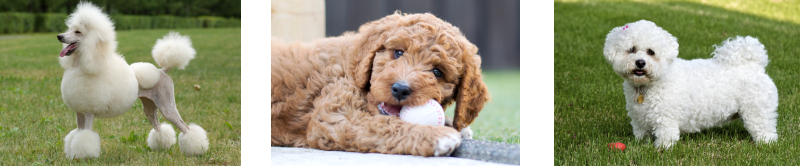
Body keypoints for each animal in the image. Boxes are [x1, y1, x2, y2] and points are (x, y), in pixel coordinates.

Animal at [272, 12, 490, 156]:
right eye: (399, 52)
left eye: (438, 72)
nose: (401, 89)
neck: (351, 68)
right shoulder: (335, 116)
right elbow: (386, 125)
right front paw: (437, 134)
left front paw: (455, 125)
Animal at [604, 20, 780, 148]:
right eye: (631, 49)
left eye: (651, 52)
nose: (640, 63)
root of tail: (755, 64)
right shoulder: (639, 118)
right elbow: (641, 134)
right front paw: (641, 145)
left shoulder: (666, 118)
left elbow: (666, 137)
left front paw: (662, 149)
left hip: (756, 111)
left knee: (765, 129)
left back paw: (766, 144)